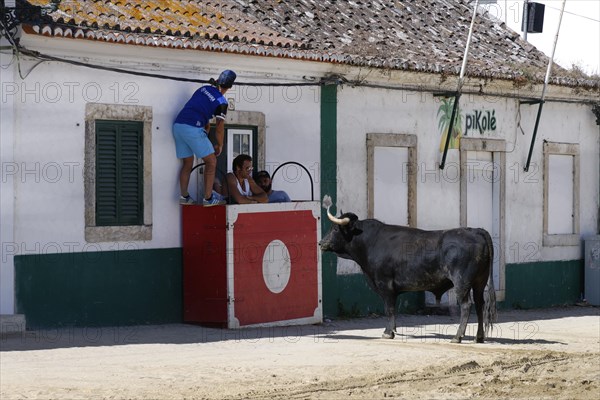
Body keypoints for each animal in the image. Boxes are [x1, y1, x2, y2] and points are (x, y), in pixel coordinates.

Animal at [318, 205, 496, 342]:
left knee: (466, 306)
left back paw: (457, 337)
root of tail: (477, 231)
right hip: (479, 282)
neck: (369, 242)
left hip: (461, 282)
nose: (321, 243)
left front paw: (388, 332)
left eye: (335, 229)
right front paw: (392, 330)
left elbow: (389, 309)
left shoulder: (385, 285)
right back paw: (479, 337)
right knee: (480, 304)